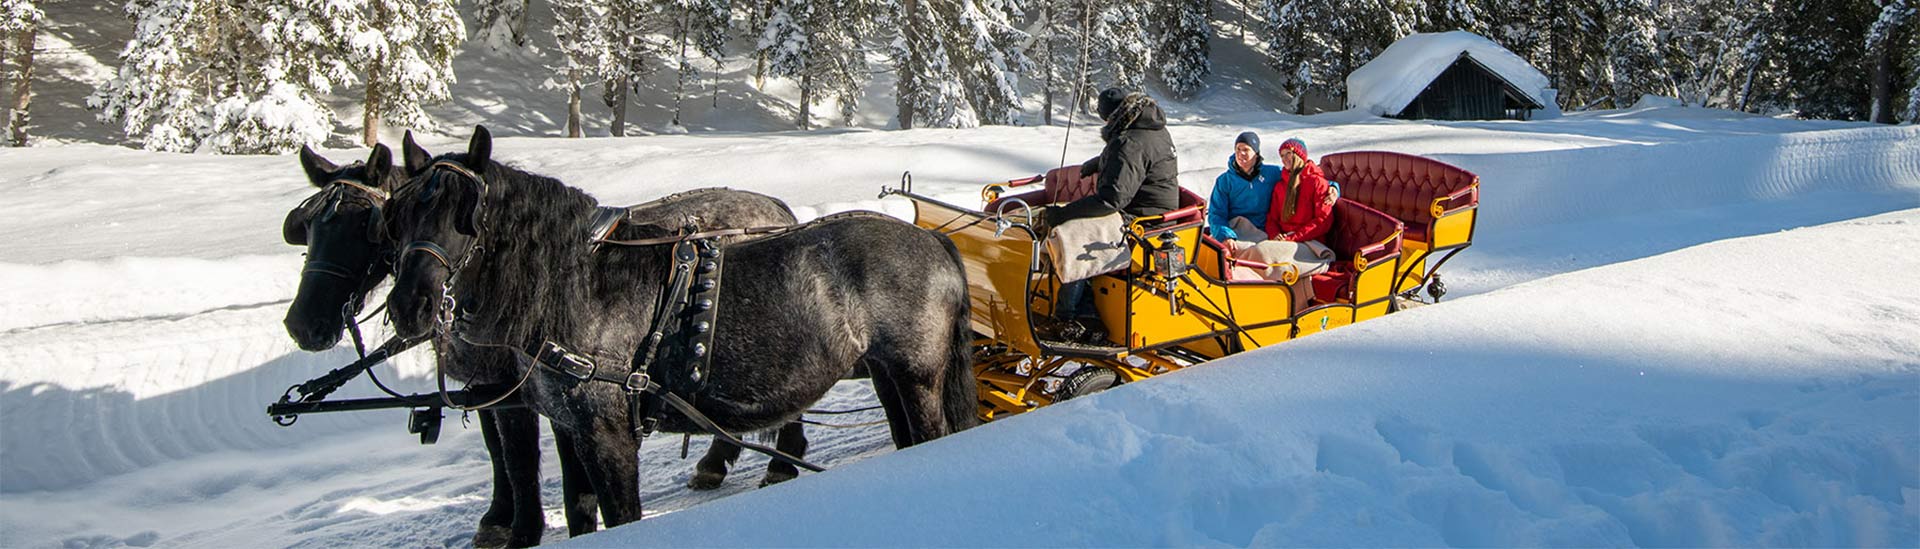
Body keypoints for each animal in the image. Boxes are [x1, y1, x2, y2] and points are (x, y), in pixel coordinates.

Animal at [378, 126, 975, 525]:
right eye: (397, 216)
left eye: (468, 216)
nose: (410, 306)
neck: (580, 288)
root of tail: (935, 242)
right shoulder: (570, 429)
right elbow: (580, 514)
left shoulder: (607, 433)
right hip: (886, 374)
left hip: (920, 377)